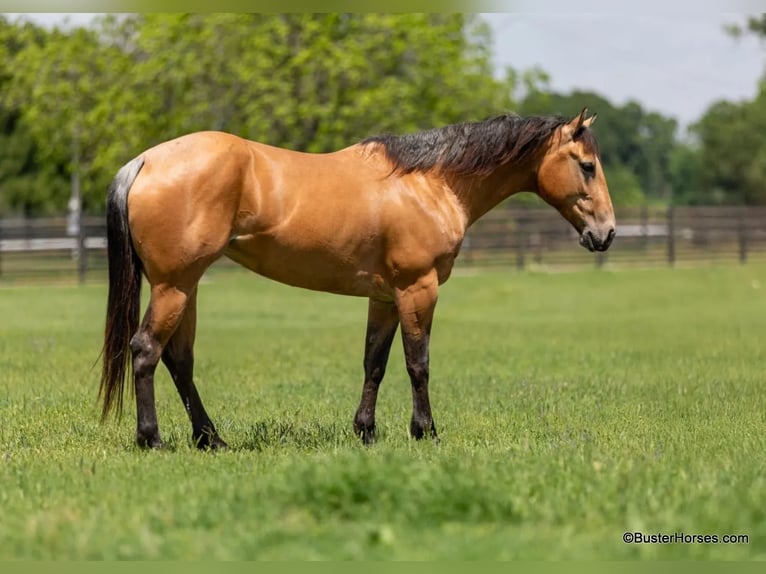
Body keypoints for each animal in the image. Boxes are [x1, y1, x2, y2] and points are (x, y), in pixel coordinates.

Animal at [99, 108, 615, 450]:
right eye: (587, 166)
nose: (606, 233)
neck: (429, 182)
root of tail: (144, 162)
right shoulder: (417, 289)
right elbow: (417, 364)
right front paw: (425, 432)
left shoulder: (385, 297)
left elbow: (375, 363)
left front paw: (366, 431)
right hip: (175, 286)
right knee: (146, 350)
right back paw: (152, 439)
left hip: (185, 287)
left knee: (179, 360)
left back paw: (211, 439)